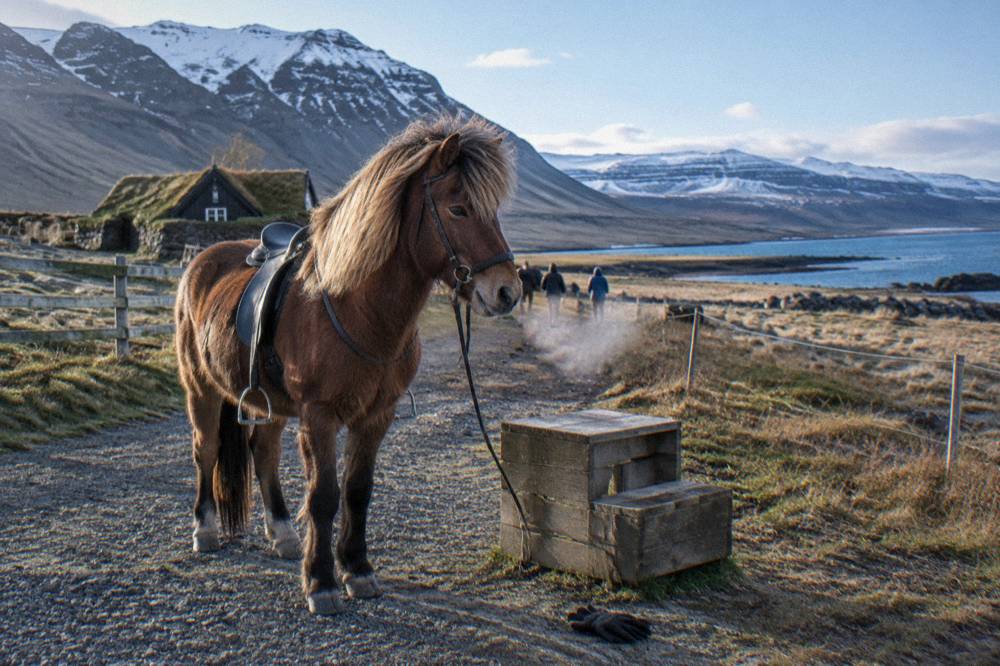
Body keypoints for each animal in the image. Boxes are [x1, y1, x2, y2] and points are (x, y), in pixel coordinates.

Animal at [174, 116, 521, 615]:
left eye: (492, 211)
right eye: (458, 209)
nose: (508, 291)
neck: (355, 307)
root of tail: (200, 263)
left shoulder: (376, 415)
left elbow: (358, 491)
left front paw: (357, 569)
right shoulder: (319, 416)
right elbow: (324, 496)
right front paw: (321, 583)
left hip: (267, 401)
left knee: (264, 452)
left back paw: (283, 533)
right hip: (199, 387)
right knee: (205, 450)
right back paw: (205, 529)